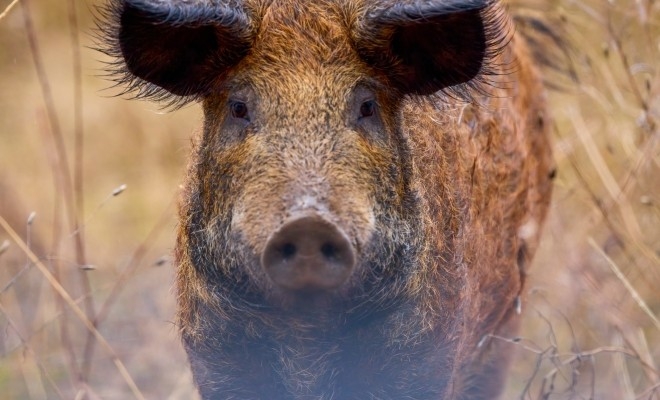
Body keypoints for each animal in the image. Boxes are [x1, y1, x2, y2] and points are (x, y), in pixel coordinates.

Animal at [102, 0, 556, 396]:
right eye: (238, 107)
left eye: (367, 106)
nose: (308, 224)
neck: (308, 339)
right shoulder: (214, 345)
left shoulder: (430, 343)